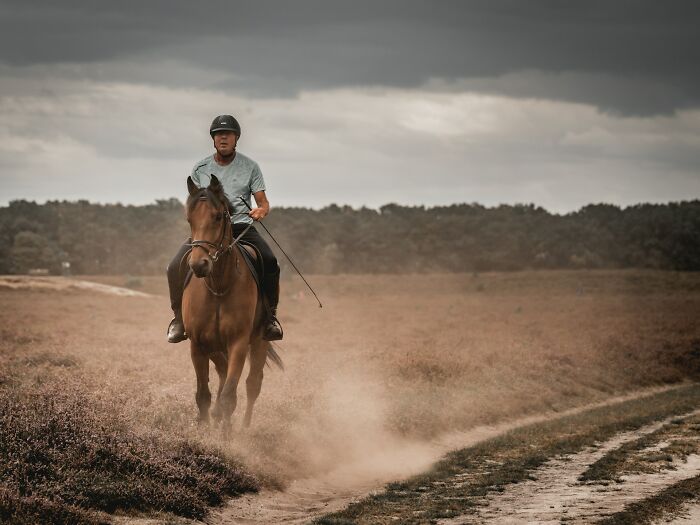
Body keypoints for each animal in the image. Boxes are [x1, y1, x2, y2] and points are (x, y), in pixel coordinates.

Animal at [181, 174, 282, 438]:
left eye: (218, 216)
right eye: (189, 218)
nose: (199, 265)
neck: (218, 286)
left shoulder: (238, 343)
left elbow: (229, 395)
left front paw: (226, 436)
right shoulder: (198, 345)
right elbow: (203, 394)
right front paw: (204, 429)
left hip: (259, 342)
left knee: (252, 384)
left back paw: (244, 428)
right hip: (216, 348)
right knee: (222, 373)